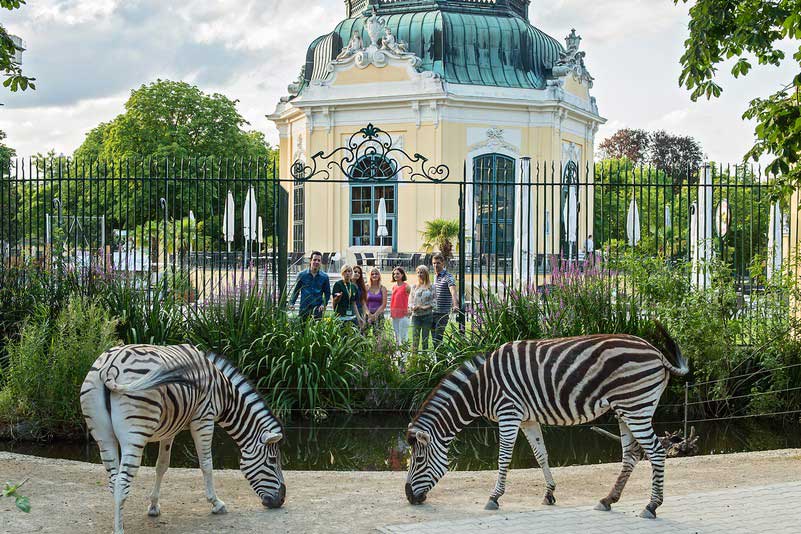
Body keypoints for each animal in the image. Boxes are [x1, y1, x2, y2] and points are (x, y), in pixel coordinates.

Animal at [80, 346, 288, 532]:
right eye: (272, 461)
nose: (281, 500)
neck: (224, 393)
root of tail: (109, 366)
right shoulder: (204, 419)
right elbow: (207, 464)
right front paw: (216, 503)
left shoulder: (170, 429)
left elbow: (161, 466)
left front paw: (153, 507)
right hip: (135, 435)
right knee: (122, 483)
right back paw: (119, 530)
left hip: (104, 437)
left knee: (114, 481)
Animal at [406, 324, 688, 520]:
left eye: (418, 460)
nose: (408, 497)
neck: (482, 388)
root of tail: (657, 353)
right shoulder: (527, 419)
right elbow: (541, 454)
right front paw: (549, 493)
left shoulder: (509, 413)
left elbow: (504, 457)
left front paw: (494, 497)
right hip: (626, 409)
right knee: (631, 455)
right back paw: (608, 500)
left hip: (635, 407)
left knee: (656, 452)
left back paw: (651, 505)